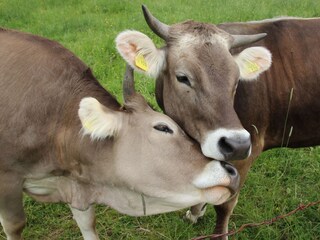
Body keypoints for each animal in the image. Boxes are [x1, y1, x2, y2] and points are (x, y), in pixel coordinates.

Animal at [117, 4, 320, 239]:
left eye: (236, 81)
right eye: (183, 77)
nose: (237, 144)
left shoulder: (248, 150)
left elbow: (225, 204)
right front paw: (195, 212)